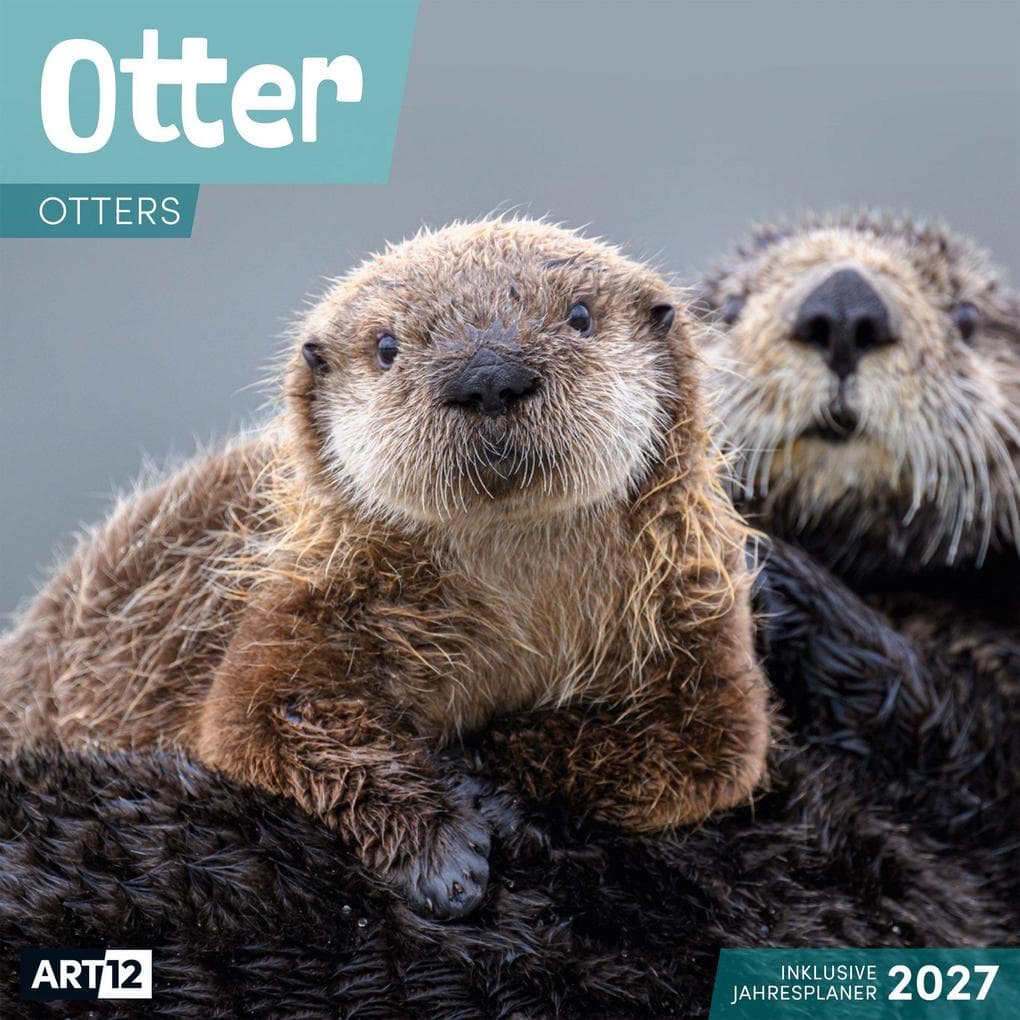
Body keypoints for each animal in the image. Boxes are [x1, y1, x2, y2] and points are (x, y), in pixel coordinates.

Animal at [0, 218, 770, 920]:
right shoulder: (312, 601)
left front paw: (489, 783)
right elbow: (265, 719)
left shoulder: (689, 612)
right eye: (387, 346)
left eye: (579, 316)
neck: (516, 601)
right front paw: (440, 854)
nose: (489, 376)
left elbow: (704, 746)